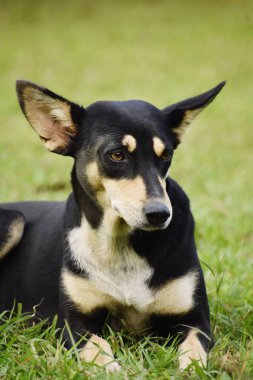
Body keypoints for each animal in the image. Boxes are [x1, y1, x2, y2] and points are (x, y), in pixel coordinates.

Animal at [0, 80, 225, 372]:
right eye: (117, 155)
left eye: (166, 155)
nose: (160, 214)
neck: (120, 243)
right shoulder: (74, 324)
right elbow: (99, 347)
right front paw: (112, 369)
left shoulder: (196, 321)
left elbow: (193, 352)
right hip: (13, 221)